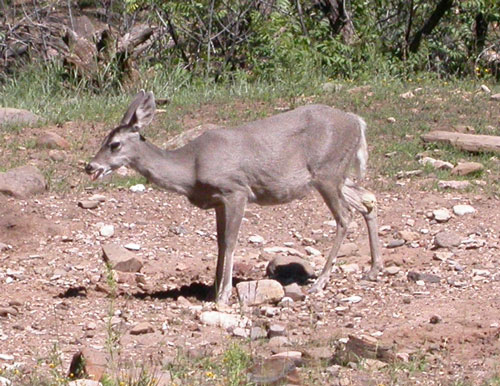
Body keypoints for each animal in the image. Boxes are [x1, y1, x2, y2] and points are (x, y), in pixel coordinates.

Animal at [86, 91, 382, 304]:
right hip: (337, 176)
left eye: (115, 144)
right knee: (368, 199)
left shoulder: (236, 190)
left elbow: (230, 242)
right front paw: (212, 290)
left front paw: (224, 295)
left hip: (327, 172)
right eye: (103, 139)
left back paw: (320, 281)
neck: (191, 168)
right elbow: (218, 243)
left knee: (345, 216)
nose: (90, 166)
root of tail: (358, 122)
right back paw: (373, 269)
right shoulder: (218, 201)